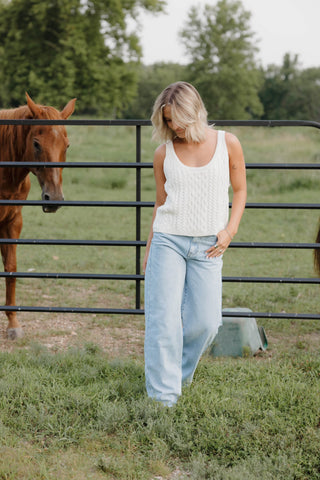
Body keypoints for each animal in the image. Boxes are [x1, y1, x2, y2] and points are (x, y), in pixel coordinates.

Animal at [0, 94, 76, 340]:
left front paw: (13, 323)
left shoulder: (13, 221)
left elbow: (11, 268)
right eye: (36, 144)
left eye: (67, 145)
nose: (54, 198)